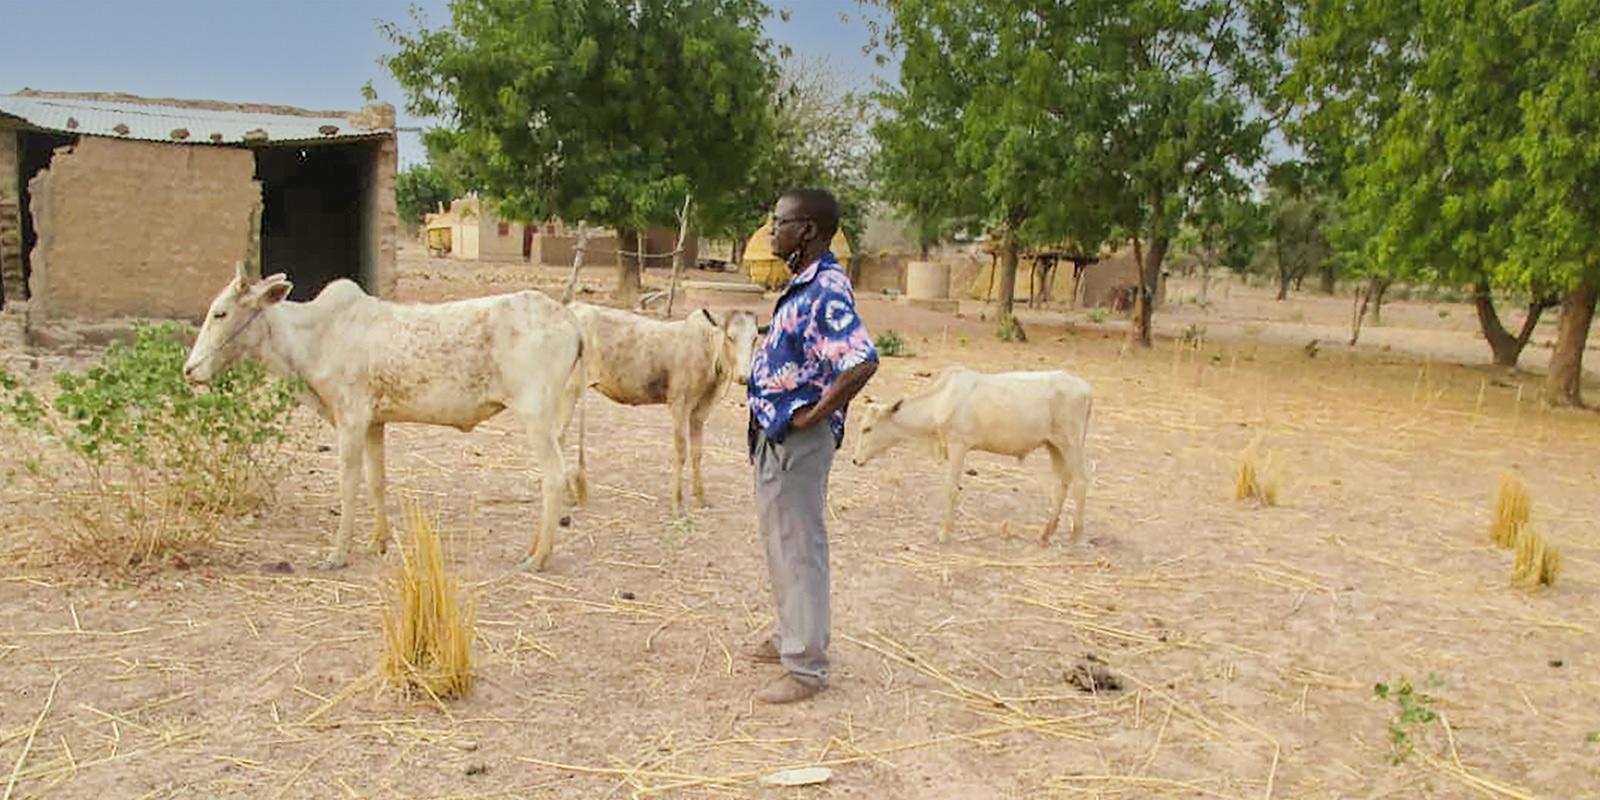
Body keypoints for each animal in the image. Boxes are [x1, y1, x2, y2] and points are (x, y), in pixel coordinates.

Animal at [183, 265, 588, 572]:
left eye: (220, 313)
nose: (190, 370)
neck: (316, 336)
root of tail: (569, 319)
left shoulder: (350, 418)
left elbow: (349, 485)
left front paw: (337, 554)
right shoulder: (374, 423)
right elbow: (377, 481)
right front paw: (377, 543)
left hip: (535, 414)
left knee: (554, 477)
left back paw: (538, 557)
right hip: (552, 419)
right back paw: (534, 547)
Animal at [566, 302, 758, 515]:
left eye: (755, 339)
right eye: (730, 337)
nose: (744, 377)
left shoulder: (700, 411)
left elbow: (697, 453)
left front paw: (701, 498)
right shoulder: (679, 404)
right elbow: (681, 452)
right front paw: (678, 505)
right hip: (568, 390)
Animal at [857, 366, 1094, 544]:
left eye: (867, 428)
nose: (855, 459)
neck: (942, 401)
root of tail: (1086, 388)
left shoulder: (958, 445)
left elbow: (951, 488)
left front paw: (944, 533)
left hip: (1071, 444)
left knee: (1081, 482)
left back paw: (1076, 535)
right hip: (1054, 445)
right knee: (1061, 483)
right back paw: (1046, 533)